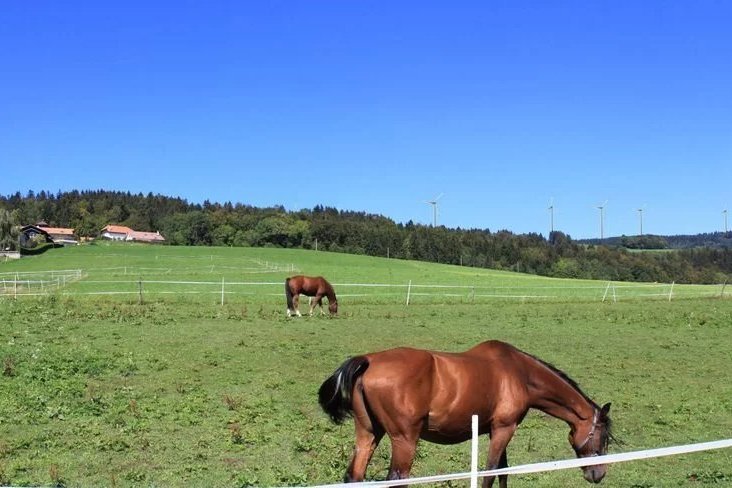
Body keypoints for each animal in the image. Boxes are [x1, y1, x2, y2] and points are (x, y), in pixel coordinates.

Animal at [318, 342, 612, 486]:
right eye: (603, 438)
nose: (598, 474)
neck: (519, 372)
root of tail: (369, 361)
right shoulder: (504, 429)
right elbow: (490, 473)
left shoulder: (498, 430)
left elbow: (502, 472)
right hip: (404, 441)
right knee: (396, 481)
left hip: (368, 433)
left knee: (354, 477)